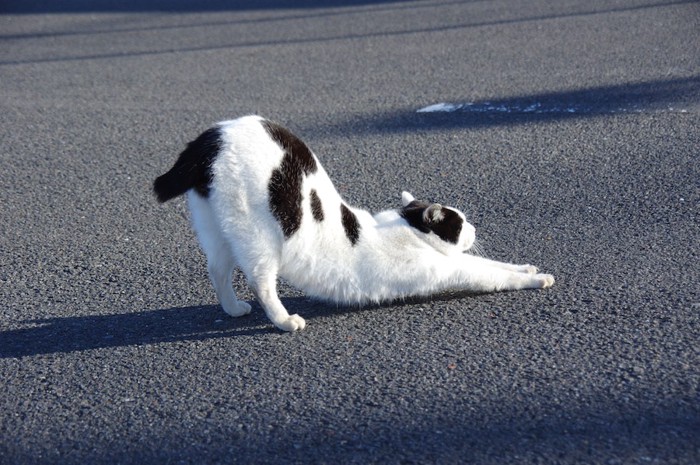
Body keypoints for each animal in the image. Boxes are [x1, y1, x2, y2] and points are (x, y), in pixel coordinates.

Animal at [156, 116, 556, 334]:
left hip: (217, 230)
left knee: (217, 270)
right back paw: (285, 320)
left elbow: (496, 263)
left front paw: (527, 266)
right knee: (260, 281)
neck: (408, 228)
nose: (474, 229)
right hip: (258, 240)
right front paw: (537, 279)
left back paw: (232, 309)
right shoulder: (447, 269)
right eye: (461, 223)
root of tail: (216, 134)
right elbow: (491, 274)